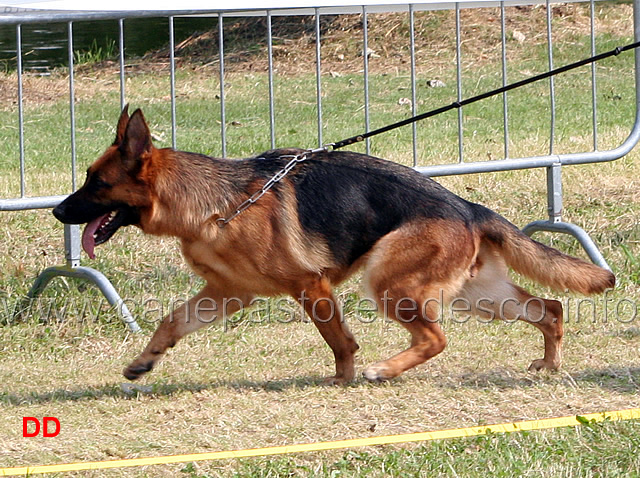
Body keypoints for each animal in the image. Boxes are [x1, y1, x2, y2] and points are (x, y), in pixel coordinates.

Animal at [52, 105, 612, 384]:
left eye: (96, 183)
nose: (57, 212)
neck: (217, 203)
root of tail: (468, 208)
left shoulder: (311, 285)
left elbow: (339, 340)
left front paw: (344, 377)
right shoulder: (227, 294)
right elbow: (171, 322)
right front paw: (144, 362)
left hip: (388, 283)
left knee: (436, 338)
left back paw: (384, 370)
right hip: (480, 296)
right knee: (551, 308)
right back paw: (550, 367)